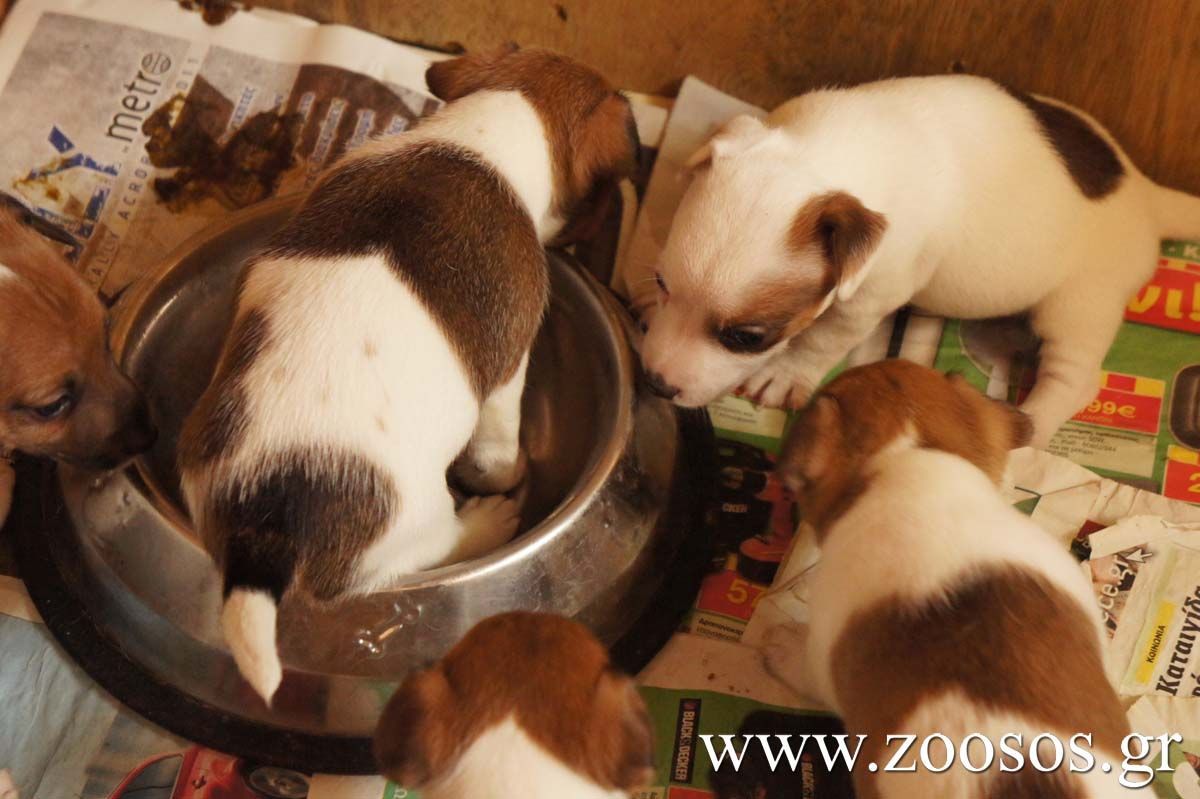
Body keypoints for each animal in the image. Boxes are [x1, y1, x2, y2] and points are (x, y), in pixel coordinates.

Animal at [177, 47, 638, 704]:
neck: (480, 139)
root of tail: (264, 525)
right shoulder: (508, 371)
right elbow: (500, 444)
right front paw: (507, 476)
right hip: (413, 527)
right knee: (438, 545)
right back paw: (488, 522)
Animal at [638, 75, 1200, 447]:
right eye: (661, 281)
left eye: (747, 338)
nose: (655, 383)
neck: (830, 156)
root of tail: (1146, 195)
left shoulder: (870, 295)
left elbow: (824, 336)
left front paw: (786, 372)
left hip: (1079, 304)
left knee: (1074, 377)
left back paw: (1031, 432)